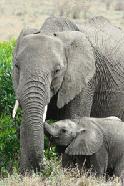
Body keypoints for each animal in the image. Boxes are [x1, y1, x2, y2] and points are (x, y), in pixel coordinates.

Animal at [12, 16, 124, 173]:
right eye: (16, 66)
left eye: (57, 70)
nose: (45, 164)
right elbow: (26, 123)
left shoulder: (86, 79)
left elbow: (75, 117)